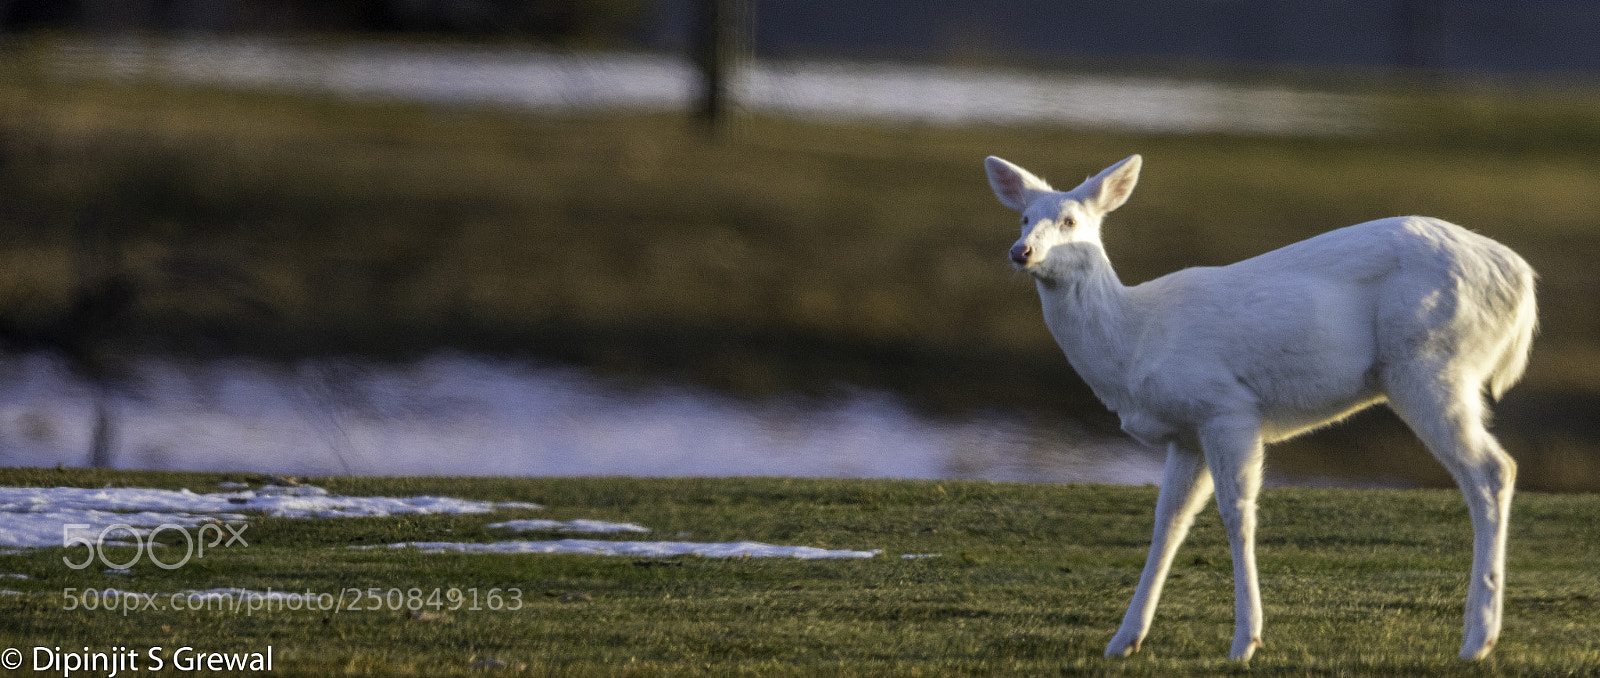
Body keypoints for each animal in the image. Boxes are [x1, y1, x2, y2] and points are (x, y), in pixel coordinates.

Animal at [984, 154, 1536, 662]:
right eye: (1024, 217)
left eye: (1070, 221)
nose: (1020, 251)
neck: (1135, 339)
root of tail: (1523, 282)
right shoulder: (1187, 433)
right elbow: (1169, 522)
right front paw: (1124, 641)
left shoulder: (1227, 406)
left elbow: (1238, 512)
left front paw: (1245, 641)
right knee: (1495, 469)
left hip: (1431, 365)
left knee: (1494, 469)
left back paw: (1477, 640)